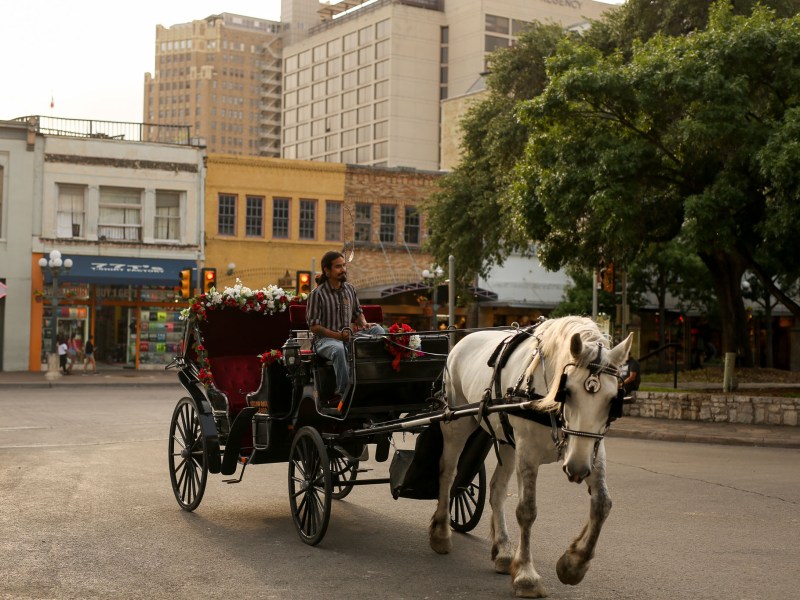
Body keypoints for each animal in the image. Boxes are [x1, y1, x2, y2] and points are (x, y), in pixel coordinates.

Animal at [432, 316, 632, 596]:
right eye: (568, 391)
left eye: (613, 399)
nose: (577, 469)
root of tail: (461, 340)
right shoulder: (528, 451)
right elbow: (527, 510)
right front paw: (526, 576)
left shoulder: (590, 449)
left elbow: (602, 503)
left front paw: (574, 564)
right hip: (456, 424)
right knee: (448, 474)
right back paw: (441, 534)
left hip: (507, 440)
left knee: (496, 489)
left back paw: (504, 551)